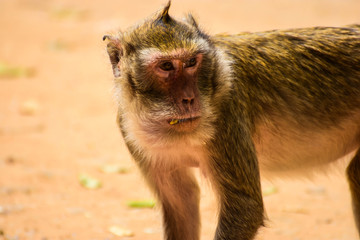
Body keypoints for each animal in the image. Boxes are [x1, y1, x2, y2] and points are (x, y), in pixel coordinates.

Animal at [103, 1, 360, 240]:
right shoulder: (129, 129)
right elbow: (181, 205)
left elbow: (245, 208)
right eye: (166, 66)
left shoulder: (227, 112)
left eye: (191, 62)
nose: (189, 98)